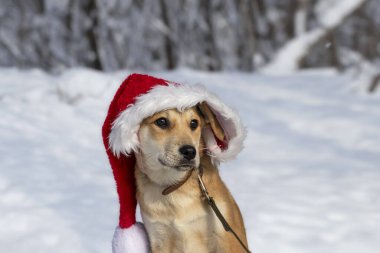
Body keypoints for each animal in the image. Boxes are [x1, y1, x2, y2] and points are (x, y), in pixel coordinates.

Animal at [134, 103, 249, 253]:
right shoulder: (159, 236)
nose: (189, 152)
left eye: (194, 123)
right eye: (161, 121)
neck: (175, 187)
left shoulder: (228, 237)